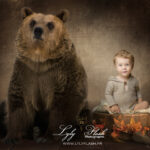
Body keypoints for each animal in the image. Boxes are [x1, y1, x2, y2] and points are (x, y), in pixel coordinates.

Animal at [5, 6, 88, 141]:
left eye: (50, 24)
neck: (40, 59)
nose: (38, 30)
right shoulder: (25, 71)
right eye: (32, 22)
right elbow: (19, 101)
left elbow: (63, 103)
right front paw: (13, 137)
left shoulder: (61, 72)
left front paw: (48, 137)